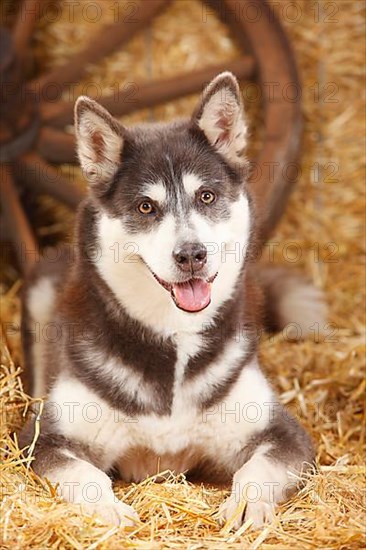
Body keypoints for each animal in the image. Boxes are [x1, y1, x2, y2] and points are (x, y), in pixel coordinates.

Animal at [20, 73, 324, 532]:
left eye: (207, 197)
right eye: (146, 206)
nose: (191, 254)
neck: (174, 337)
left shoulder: (282, 433)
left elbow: (260, 468)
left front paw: (247, 503)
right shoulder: (41, 439)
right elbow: (84, 474)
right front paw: (107, 510)